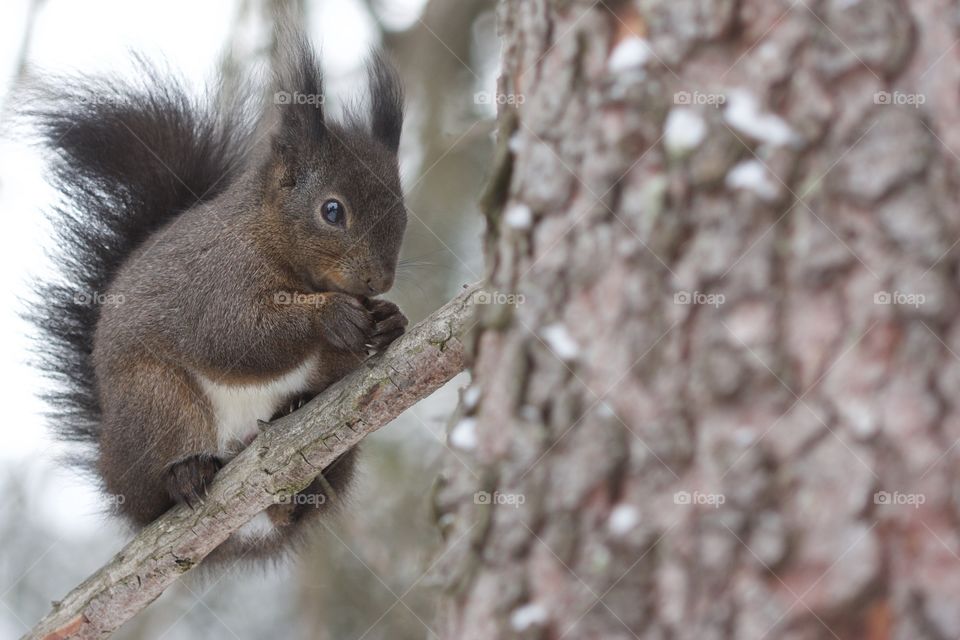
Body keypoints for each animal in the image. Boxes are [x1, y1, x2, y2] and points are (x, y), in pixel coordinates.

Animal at [26, 28, 408, 562]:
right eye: (332, 210)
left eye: (403, 210)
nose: (379, 281)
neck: (269, 236)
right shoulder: (215, 280)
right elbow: (233, 337)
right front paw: (331, 316)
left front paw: (391, 320)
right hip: (154, 401)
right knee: (161, 482)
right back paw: (185, 475)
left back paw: (298, 455)